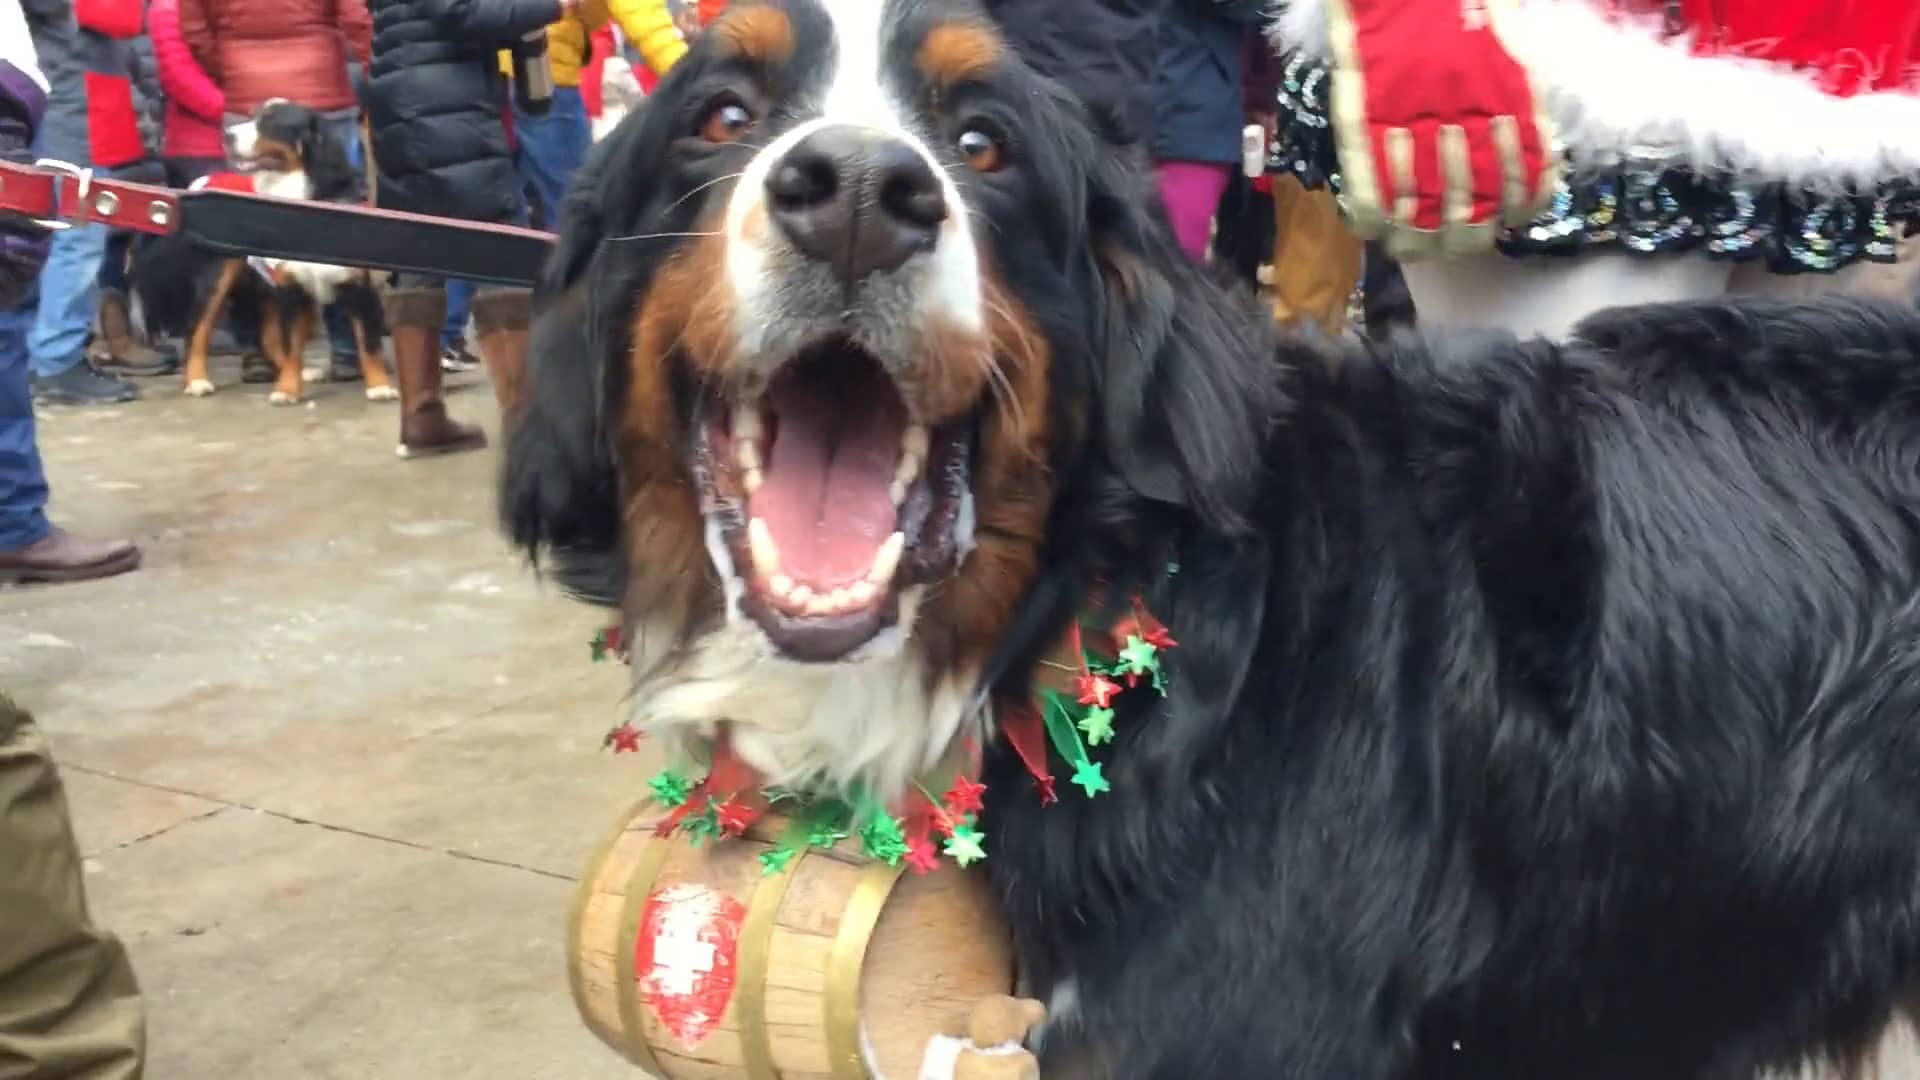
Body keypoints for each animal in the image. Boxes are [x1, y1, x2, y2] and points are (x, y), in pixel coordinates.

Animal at [136, 99, 393, 403]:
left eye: (270, 121)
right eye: (251, 116)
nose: (227, 135)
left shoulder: (358, 288)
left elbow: (369, 345)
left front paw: (379, 386)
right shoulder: (291, 290)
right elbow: (292, 345)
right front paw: (286, 390)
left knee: (268, 338)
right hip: (218, 279)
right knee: (197, 331)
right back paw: (197, 381)